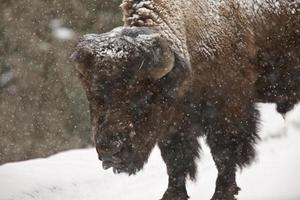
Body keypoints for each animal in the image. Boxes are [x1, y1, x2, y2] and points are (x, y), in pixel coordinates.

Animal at [71, 0, 300, 200]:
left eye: (142, 97)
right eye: (93, 95)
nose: (110, 150)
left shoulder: (227, 110)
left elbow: (224, 154)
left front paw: (222, 193)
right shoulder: (173, 124)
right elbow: (176, 161)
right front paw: (172, 195)